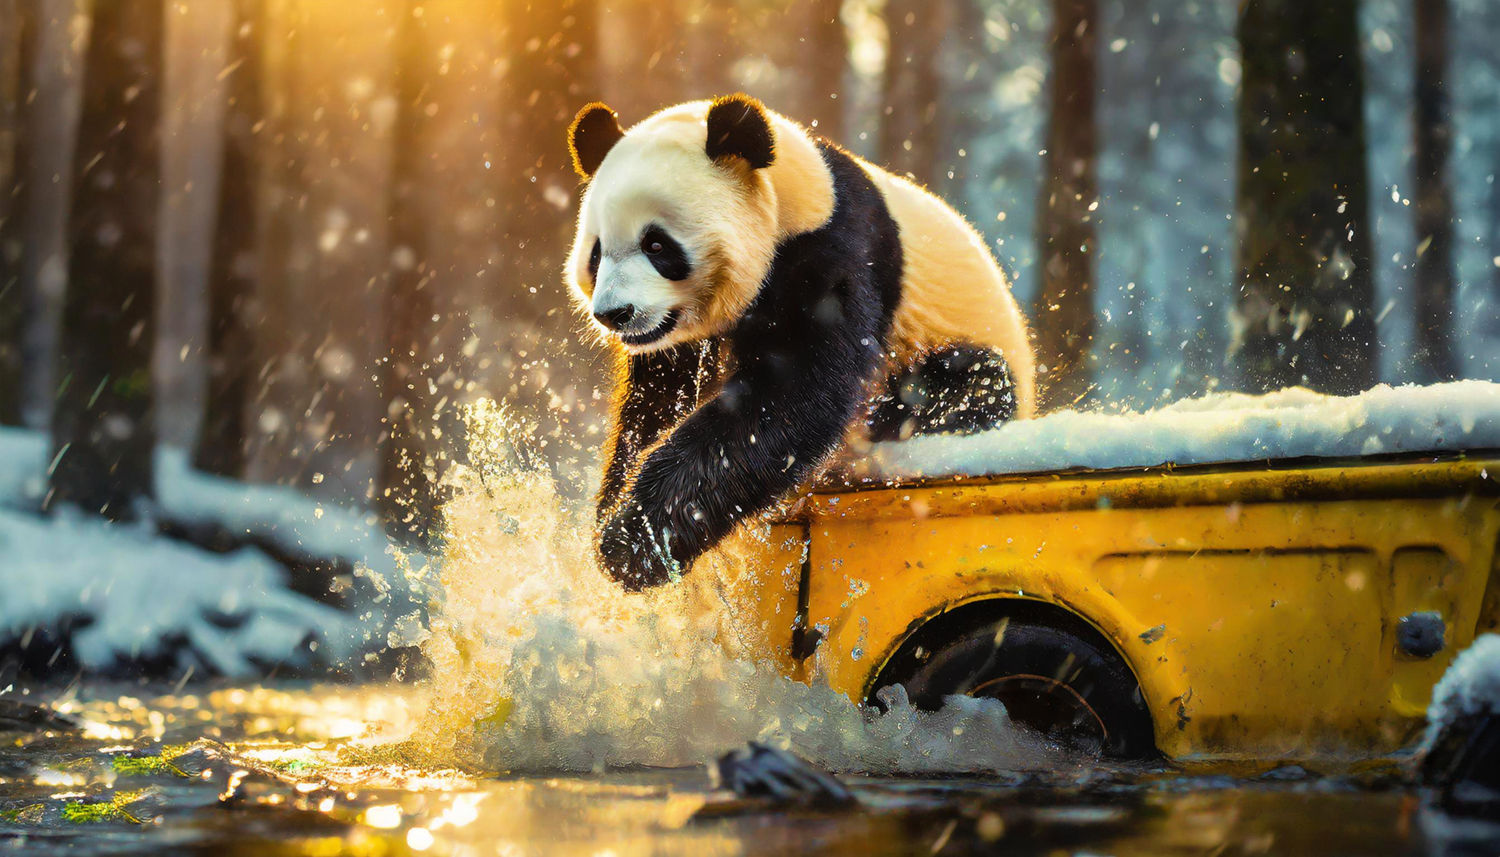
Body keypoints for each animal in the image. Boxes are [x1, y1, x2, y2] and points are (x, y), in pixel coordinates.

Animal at [567, 94, 1035, 590]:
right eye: (596, 253)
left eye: (656, 245)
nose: (615, 313)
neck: (793, 198)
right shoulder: (678, 345)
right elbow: (655, 403)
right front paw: (613, 506)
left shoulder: (833, 254)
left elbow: (792, 398)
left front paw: (634, 543)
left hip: (960, 350)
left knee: (961, 386)